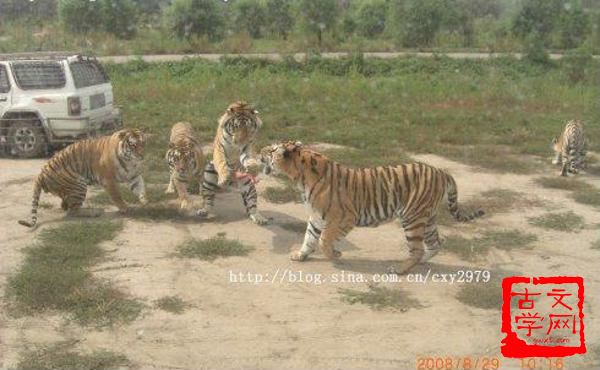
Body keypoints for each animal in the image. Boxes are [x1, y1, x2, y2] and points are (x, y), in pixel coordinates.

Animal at [17, 129, 149, 228]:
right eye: (133, 145)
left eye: (143, 143)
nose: (142, 156)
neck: (130, 162)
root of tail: (41, 173)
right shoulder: (109, 180)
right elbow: (117, 196)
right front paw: (124, 208)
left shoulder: (134, 176)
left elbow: (141, 188)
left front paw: (145, 203)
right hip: (78, 185)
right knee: (73, 211)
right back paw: (95, 212)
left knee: (66, 205)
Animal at [260, 140, 486, 274]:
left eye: (271, 150)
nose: (260, 151)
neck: (299, 177)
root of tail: (440, 171)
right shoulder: (316, 217)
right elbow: (309, 238)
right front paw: (300, 255)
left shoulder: (344, 218)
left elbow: (324, 240)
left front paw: (336, 255)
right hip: (427, 218)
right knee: (436, 243)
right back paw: (421, 262)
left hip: (412, 218)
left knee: (418, 248)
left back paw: (398, 269)